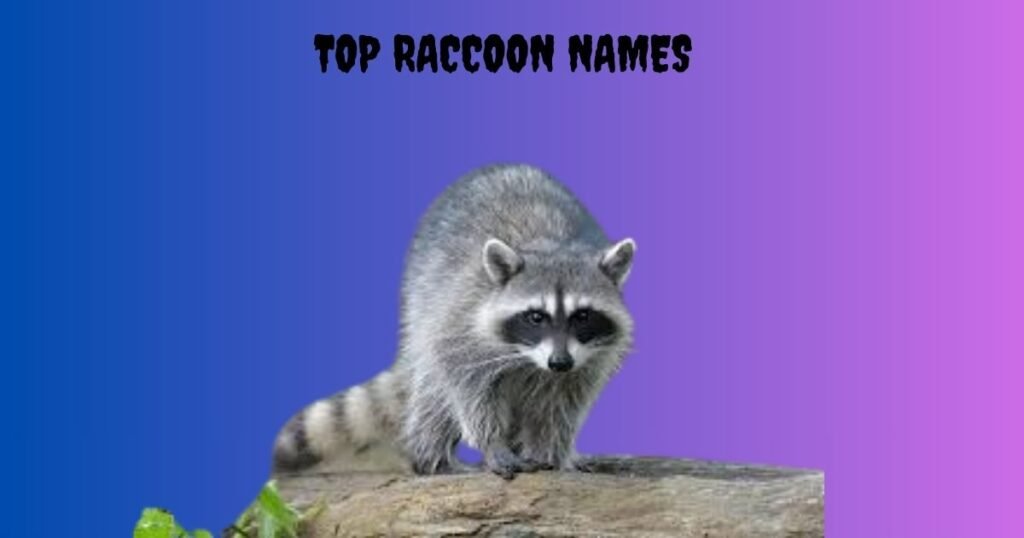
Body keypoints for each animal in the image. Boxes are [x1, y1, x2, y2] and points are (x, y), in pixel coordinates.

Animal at [272, 164, 636, 479]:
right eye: (536, 316)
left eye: (582, 316)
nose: (559, 362)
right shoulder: (462, 321)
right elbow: (465, 384)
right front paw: (492, 443)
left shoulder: (588, 359)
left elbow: (562, 405)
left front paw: (553, 453)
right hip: (422, 303)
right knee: (434, 393)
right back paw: (432, 457)